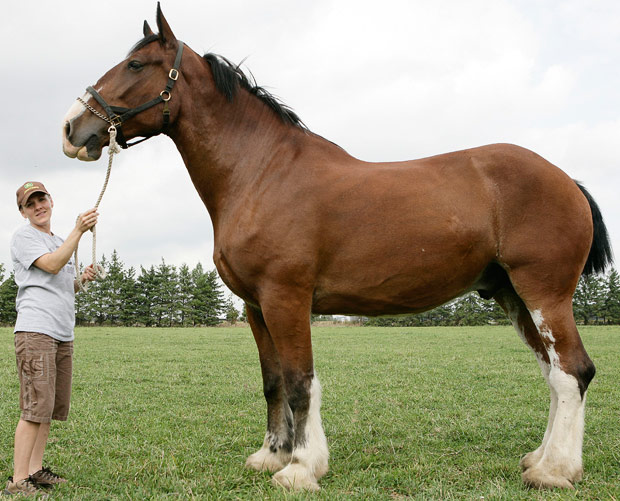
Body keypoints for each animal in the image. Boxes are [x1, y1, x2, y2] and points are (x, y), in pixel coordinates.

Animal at [60, 3, 612, 490]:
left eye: (135, 65)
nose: (71, 128)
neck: (260, 172)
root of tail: (567, 180)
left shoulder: (286, 298)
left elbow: (301, 381)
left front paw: (302, 468)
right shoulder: (256, 305)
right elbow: (273, 382)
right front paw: (271, 455)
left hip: (543, 293)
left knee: (572, 372)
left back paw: (554, 470)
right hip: (512, 295)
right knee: (553, 374)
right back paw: (540, 458)